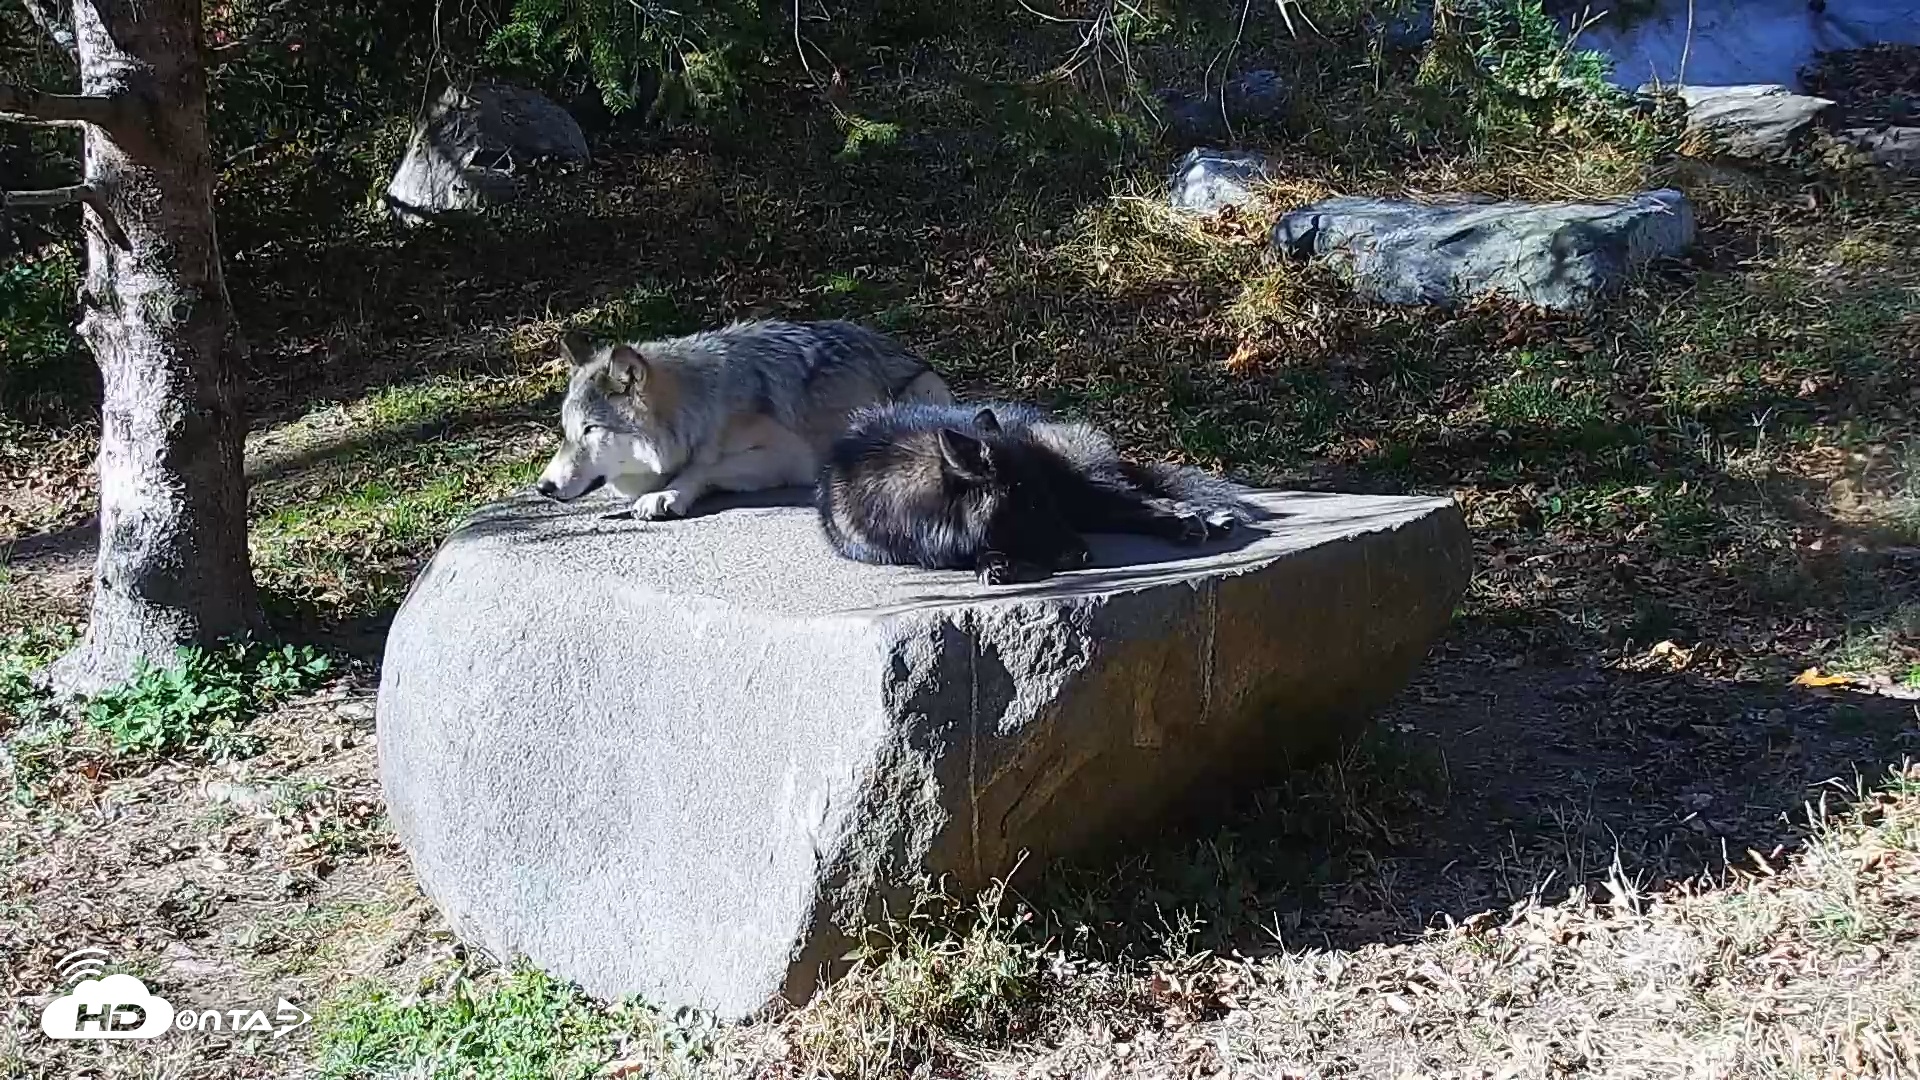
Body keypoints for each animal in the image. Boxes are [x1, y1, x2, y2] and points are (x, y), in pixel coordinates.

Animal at [536, 320, 953, 519]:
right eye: (567, 432)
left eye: (592, 429)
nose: (543, 487)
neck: (701, 406)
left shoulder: (786, 456)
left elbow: (701, 467)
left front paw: (667, 494)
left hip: (918, 396)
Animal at [816, 401, 1257, 585]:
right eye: (1026, 506)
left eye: (1041, 503)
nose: (1083, 556)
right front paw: (993, 562)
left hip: (1081, 491)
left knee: (1144, 501)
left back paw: (1198, 520)